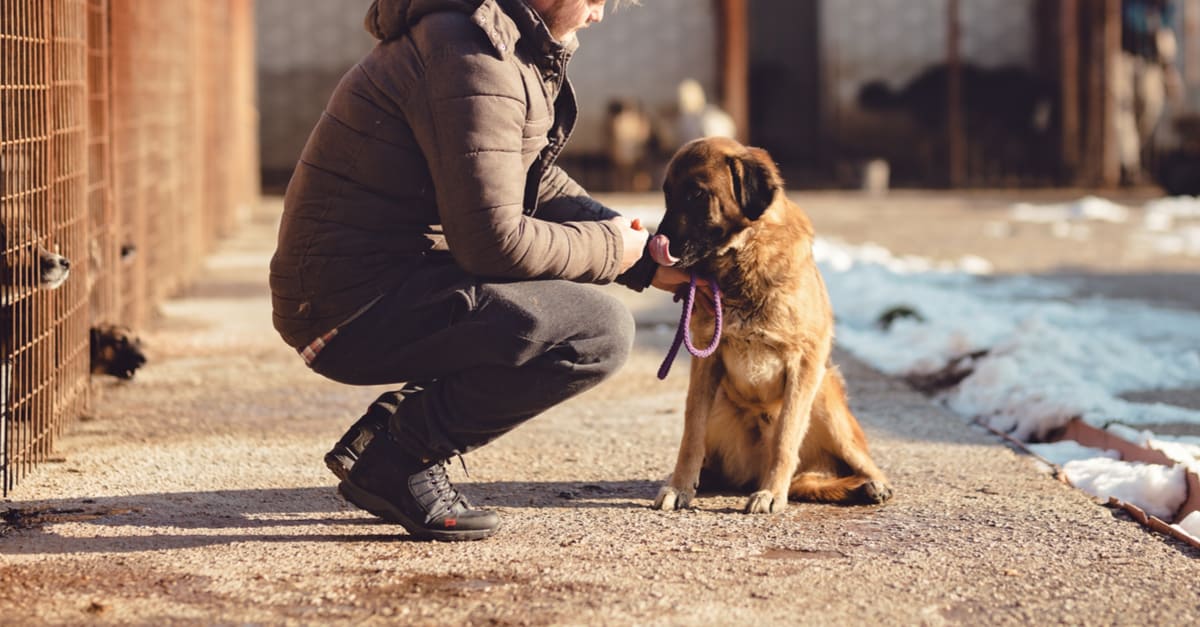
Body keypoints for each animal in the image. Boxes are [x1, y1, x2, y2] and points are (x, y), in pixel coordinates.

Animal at [648, 136, 892, 511]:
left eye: (697, 194)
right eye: (668, 194)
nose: (653, 245)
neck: (744, 258)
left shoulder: (804, 364)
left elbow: (785, 438)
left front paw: (772, 493)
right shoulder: (705, 364)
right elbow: (691, 435)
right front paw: (679, 486)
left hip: (825, 398)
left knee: (860, 464)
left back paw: (871, 485)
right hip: (721, 403)